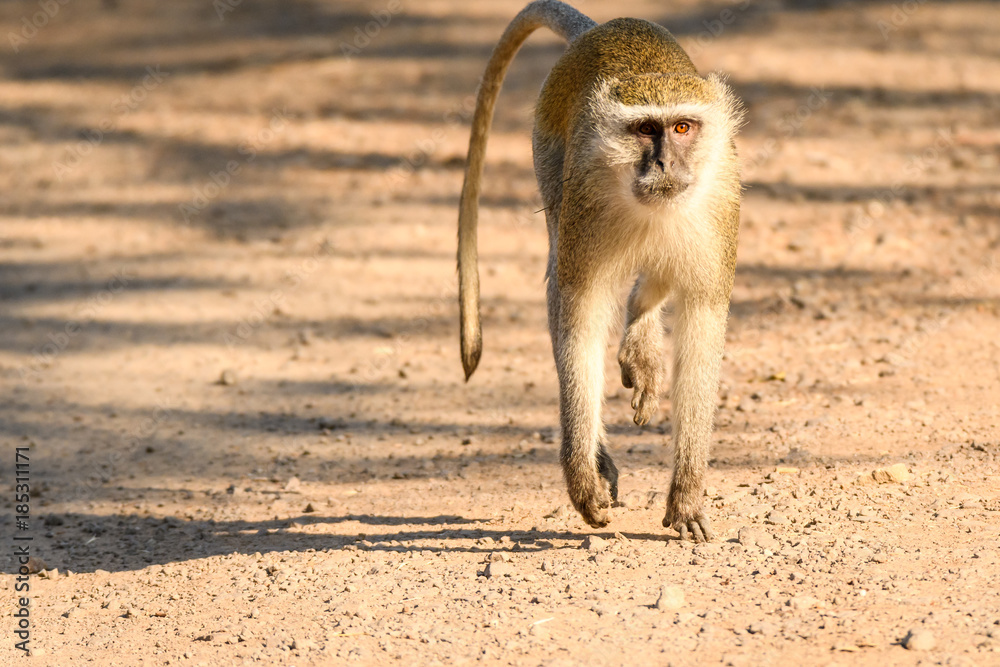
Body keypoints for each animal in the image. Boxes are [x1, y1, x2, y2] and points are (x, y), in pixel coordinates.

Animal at [457, 1, 744, 542]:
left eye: (682, 128)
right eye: (646, 130)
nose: (665, 166)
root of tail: (602, 29)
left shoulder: (720, 204)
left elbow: (702, 321)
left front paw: (687, 494)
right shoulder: (585, 197)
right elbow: (581, 313)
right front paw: (581, 471)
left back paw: (642, 330)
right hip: (551, 154)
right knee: (560, 273)